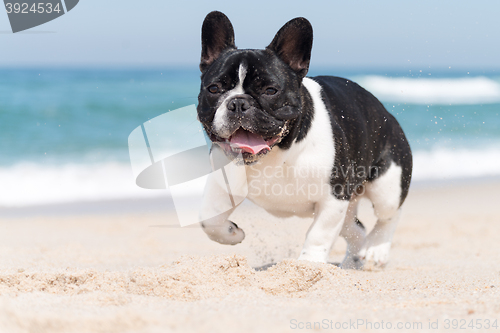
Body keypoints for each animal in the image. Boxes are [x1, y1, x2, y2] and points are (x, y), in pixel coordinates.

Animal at [195, 11, 410, 268]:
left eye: (270, 90)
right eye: (214, 88)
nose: (238, 103)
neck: (277, 152)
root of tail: (387, 114)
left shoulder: (334, 196)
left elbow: (319, 234)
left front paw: (309, 265)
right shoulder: (222, 184)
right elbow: (208, 218)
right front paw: (231, 233)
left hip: (386, 185)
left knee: (389, 215)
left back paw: (377, 250)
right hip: (349, 206)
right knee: (356, 229)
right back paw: (351, 264)